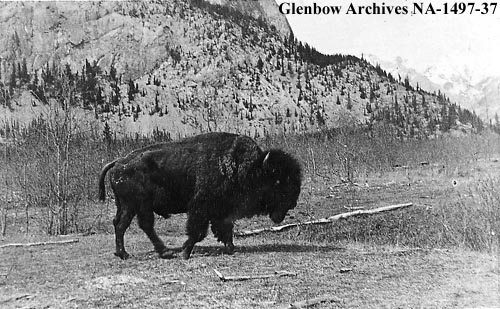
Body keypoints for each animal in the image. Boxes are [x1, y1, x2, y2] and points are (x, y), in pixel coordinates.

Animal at [97, 131, 300, 258]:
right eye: (279, 181)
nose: (293, 203)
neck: (249, 167)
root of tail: (118, 162)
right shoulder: (201, 208)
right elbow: (199, 231)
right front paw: (186, 252)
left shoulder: (221, 211)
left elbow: (225, 229)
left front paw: (230, 248)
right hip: (139, 205)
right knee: (142, 225)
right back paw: (164, 252)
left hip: (127, 206)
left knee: (120, 224)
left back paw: (123, 253)